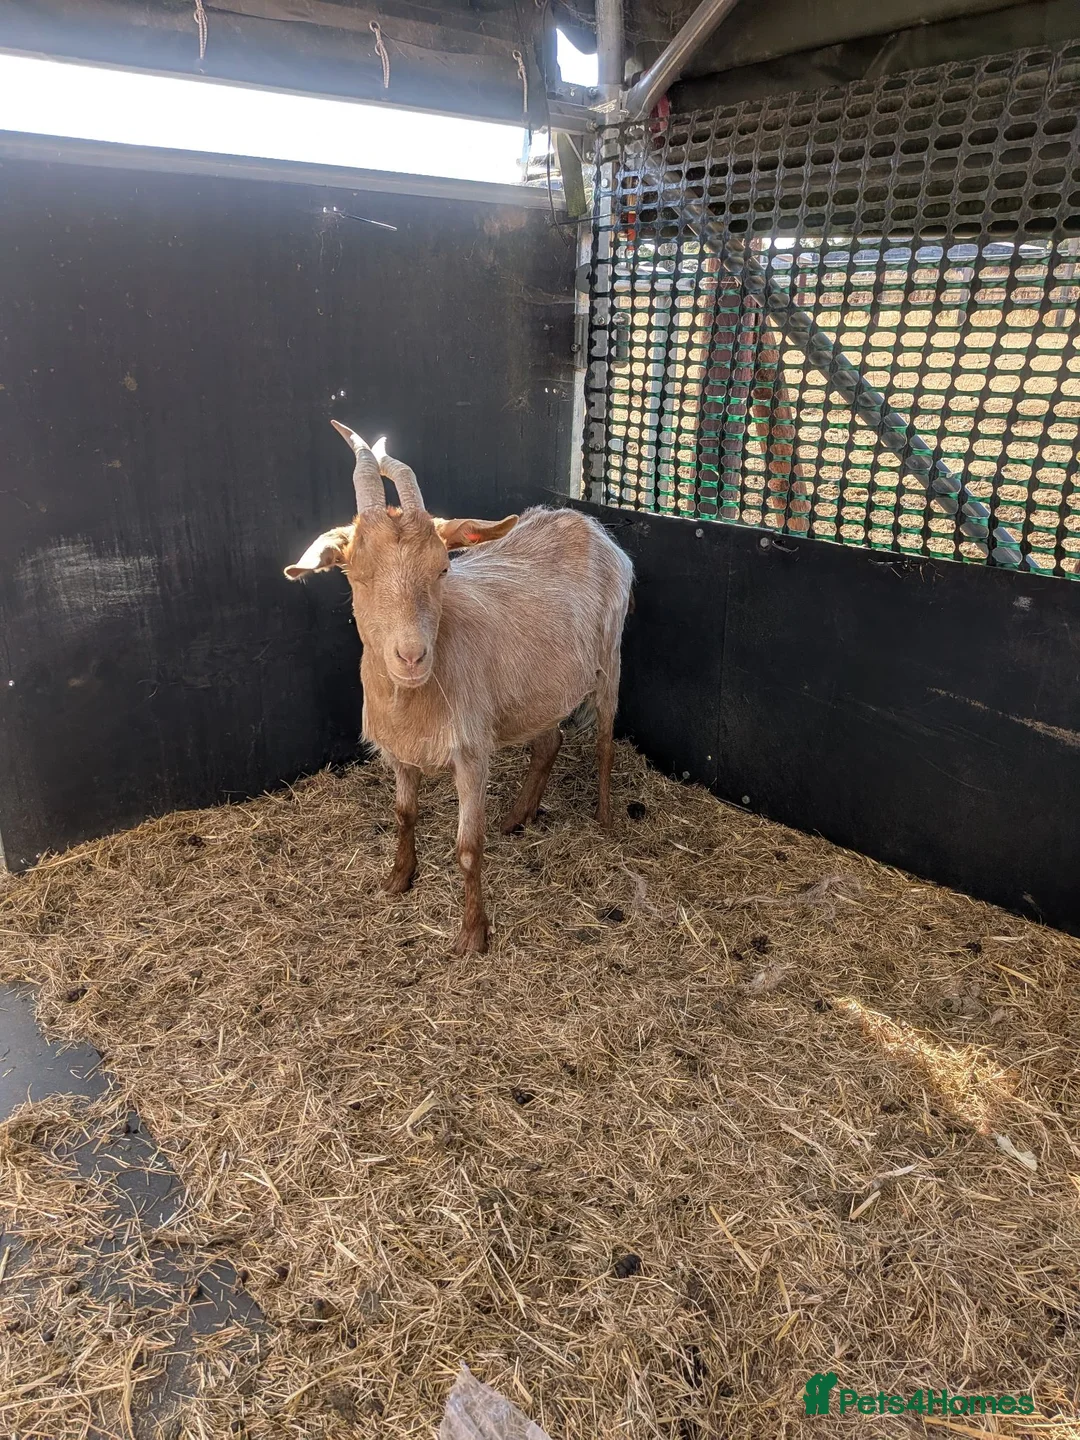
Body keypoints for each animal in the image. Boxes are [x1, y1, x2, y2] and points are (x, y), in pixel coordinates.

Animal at [285, 421, 634, 955]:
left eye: (443, 568)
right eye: (358, 573)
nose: (411, 657)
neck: (415, 698)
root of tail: (586, 523)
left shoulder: (470, 752)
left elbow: (469, 847)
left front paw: (473, 934)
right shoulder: (399, 750)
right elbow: (404, 814)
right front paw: (398, 879)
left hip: (608, 660)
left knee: (604, 742)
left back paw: (605, 817)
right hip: (542, 688)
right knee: (548, 742)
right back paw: (517, 817)